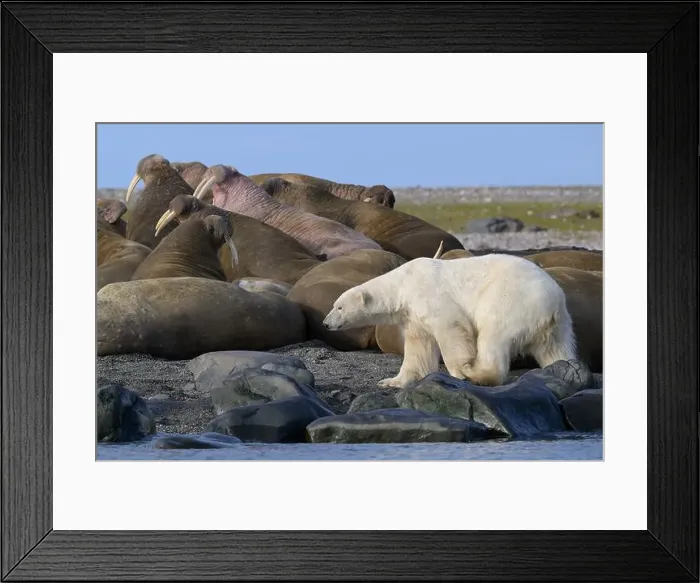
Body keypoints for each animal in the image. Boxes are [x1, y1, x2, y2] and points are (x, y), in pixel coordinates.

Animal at [322, 253, 578, 389]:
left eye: (339, 307)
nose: (325, 323)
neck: (403, 284)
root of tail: (552, 301)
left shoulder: (430, 295)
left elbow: (451, 329)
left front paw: (458, 372)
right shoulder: (412, 316)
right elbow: (418, 347)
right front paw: (391, 381)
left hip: (511, 299)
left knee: (493, 335)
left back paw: (476, 372)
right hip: (558, 325)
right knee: (556, 349)